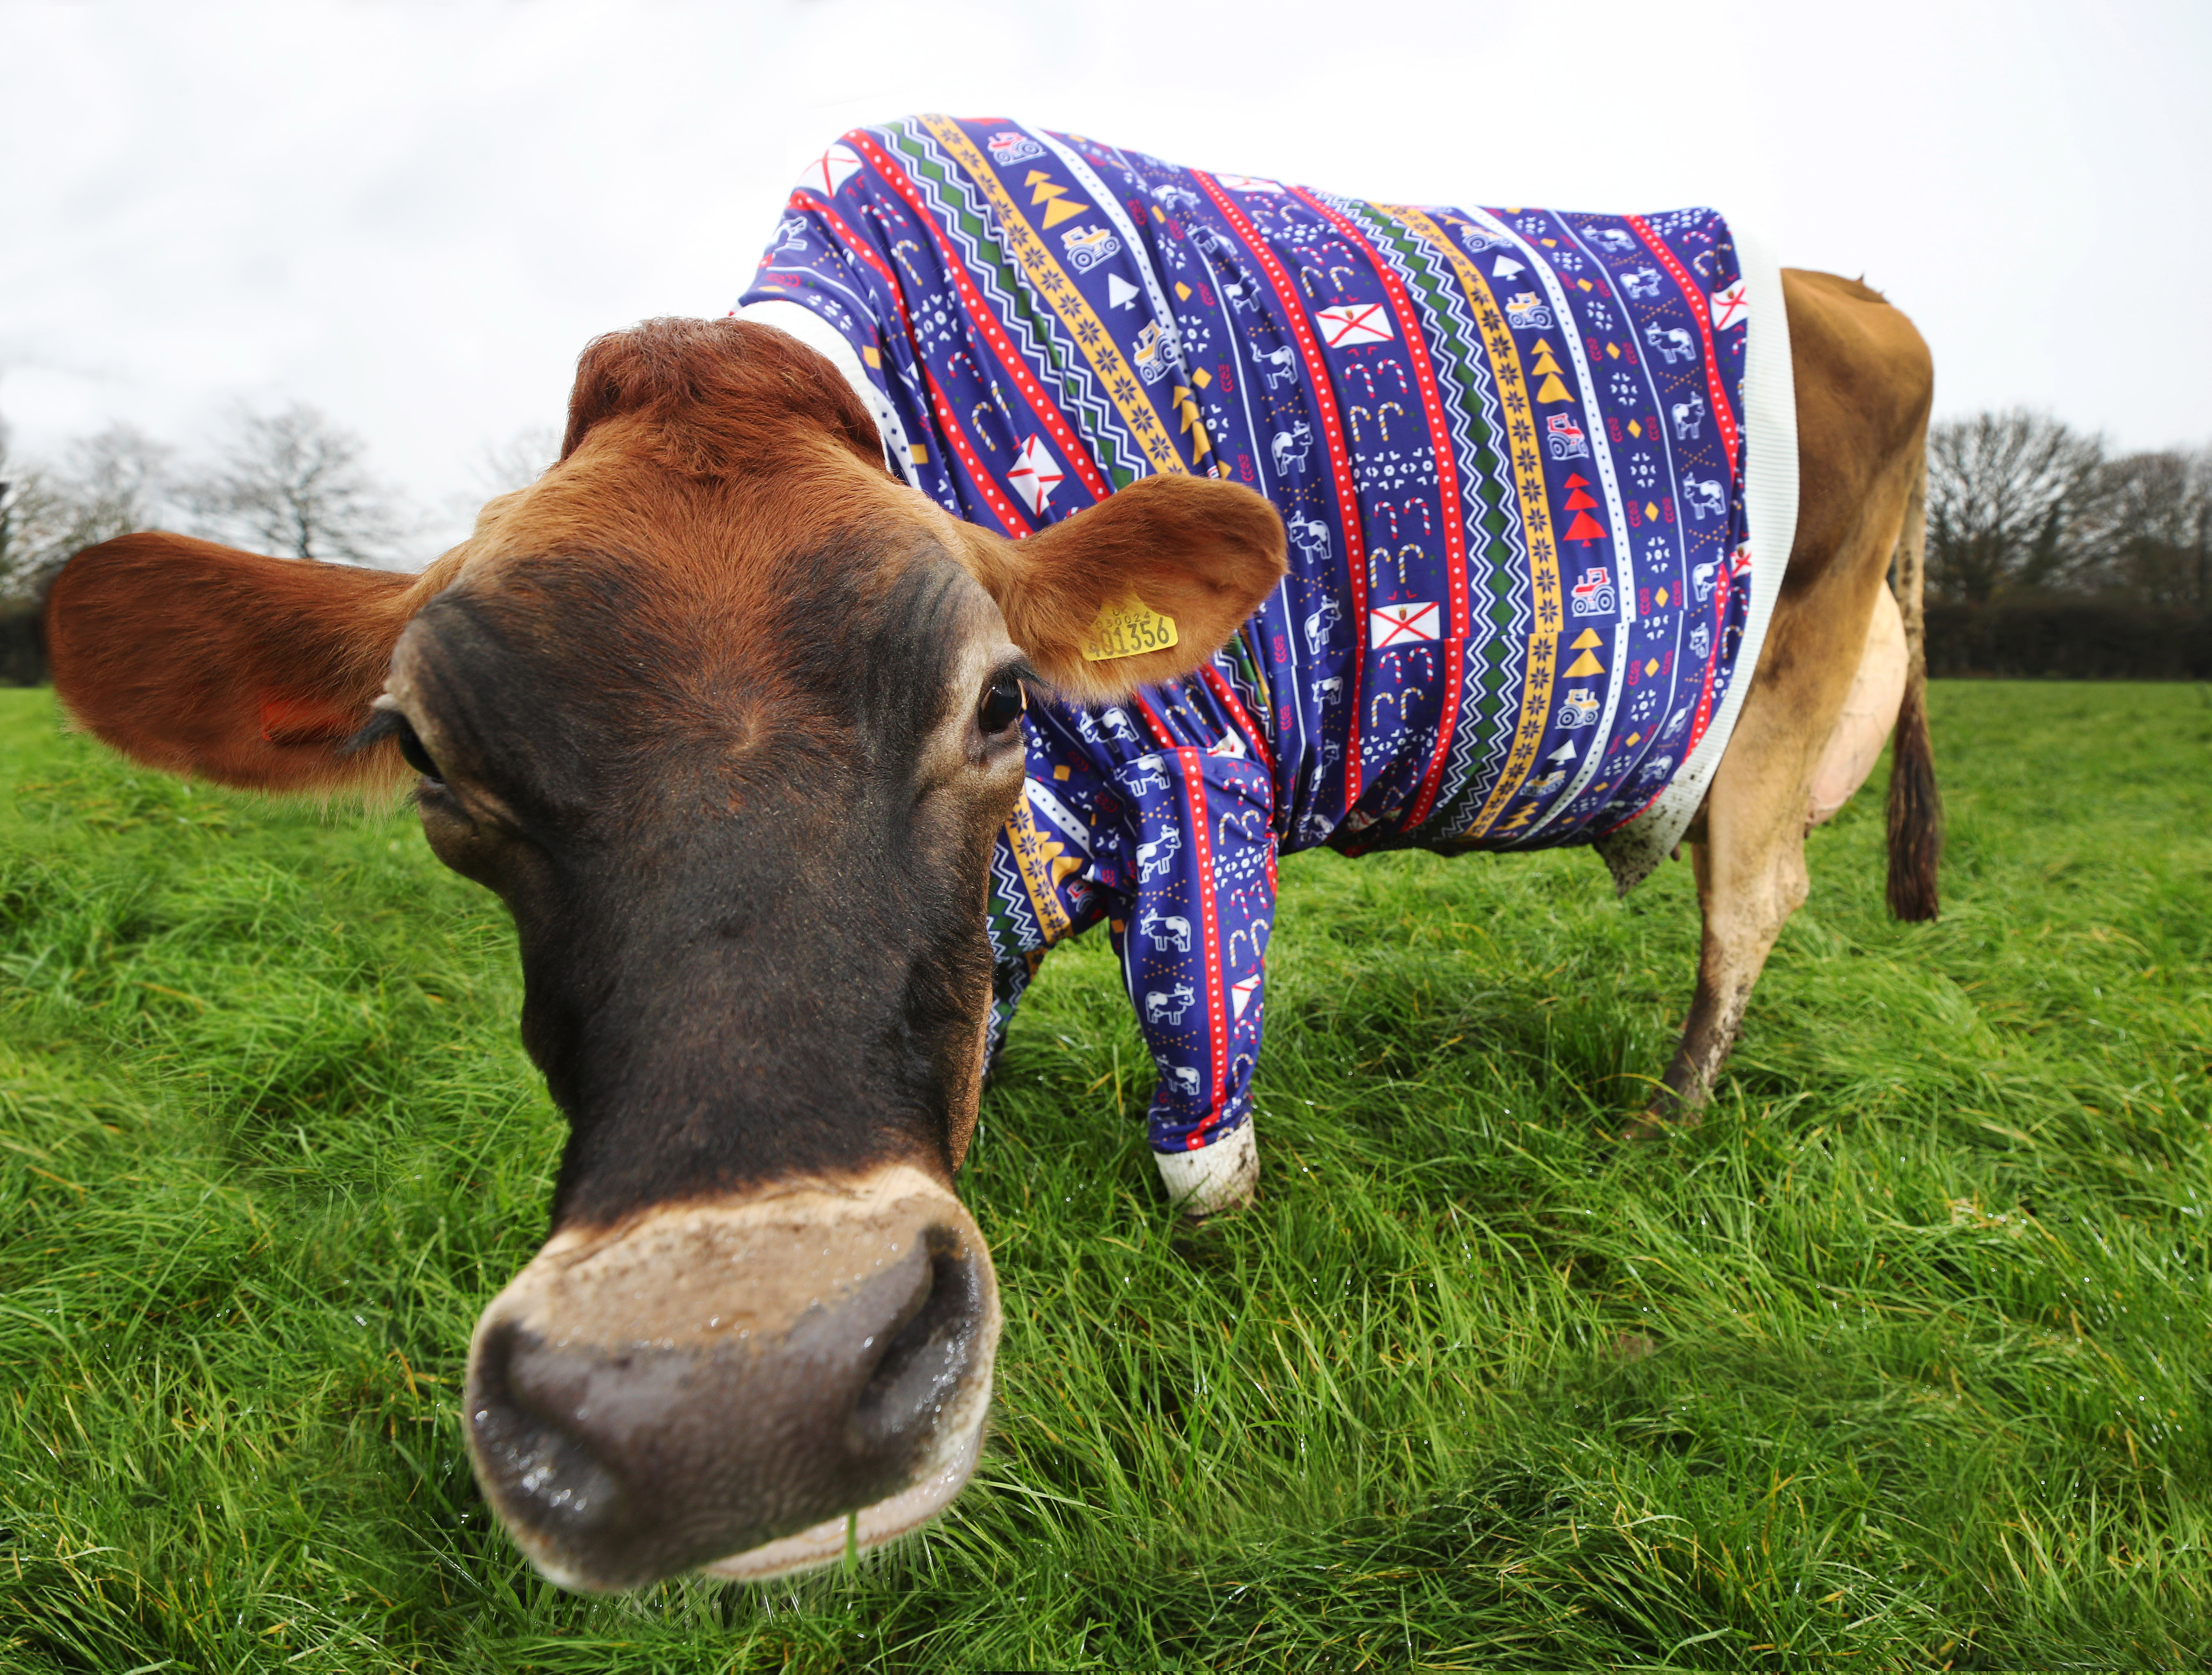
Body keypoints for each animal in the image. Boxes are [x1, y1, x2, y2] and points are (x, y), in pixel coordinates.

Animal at [43, 268, 1929, 1584]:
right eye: (429, 757)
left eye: (1002, 695)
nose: (738, 1395)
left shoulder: (1204, 792)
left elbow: (1202, 1131)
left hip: (1781, 689)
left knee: (1746, 905)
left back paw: (1662, 1118)